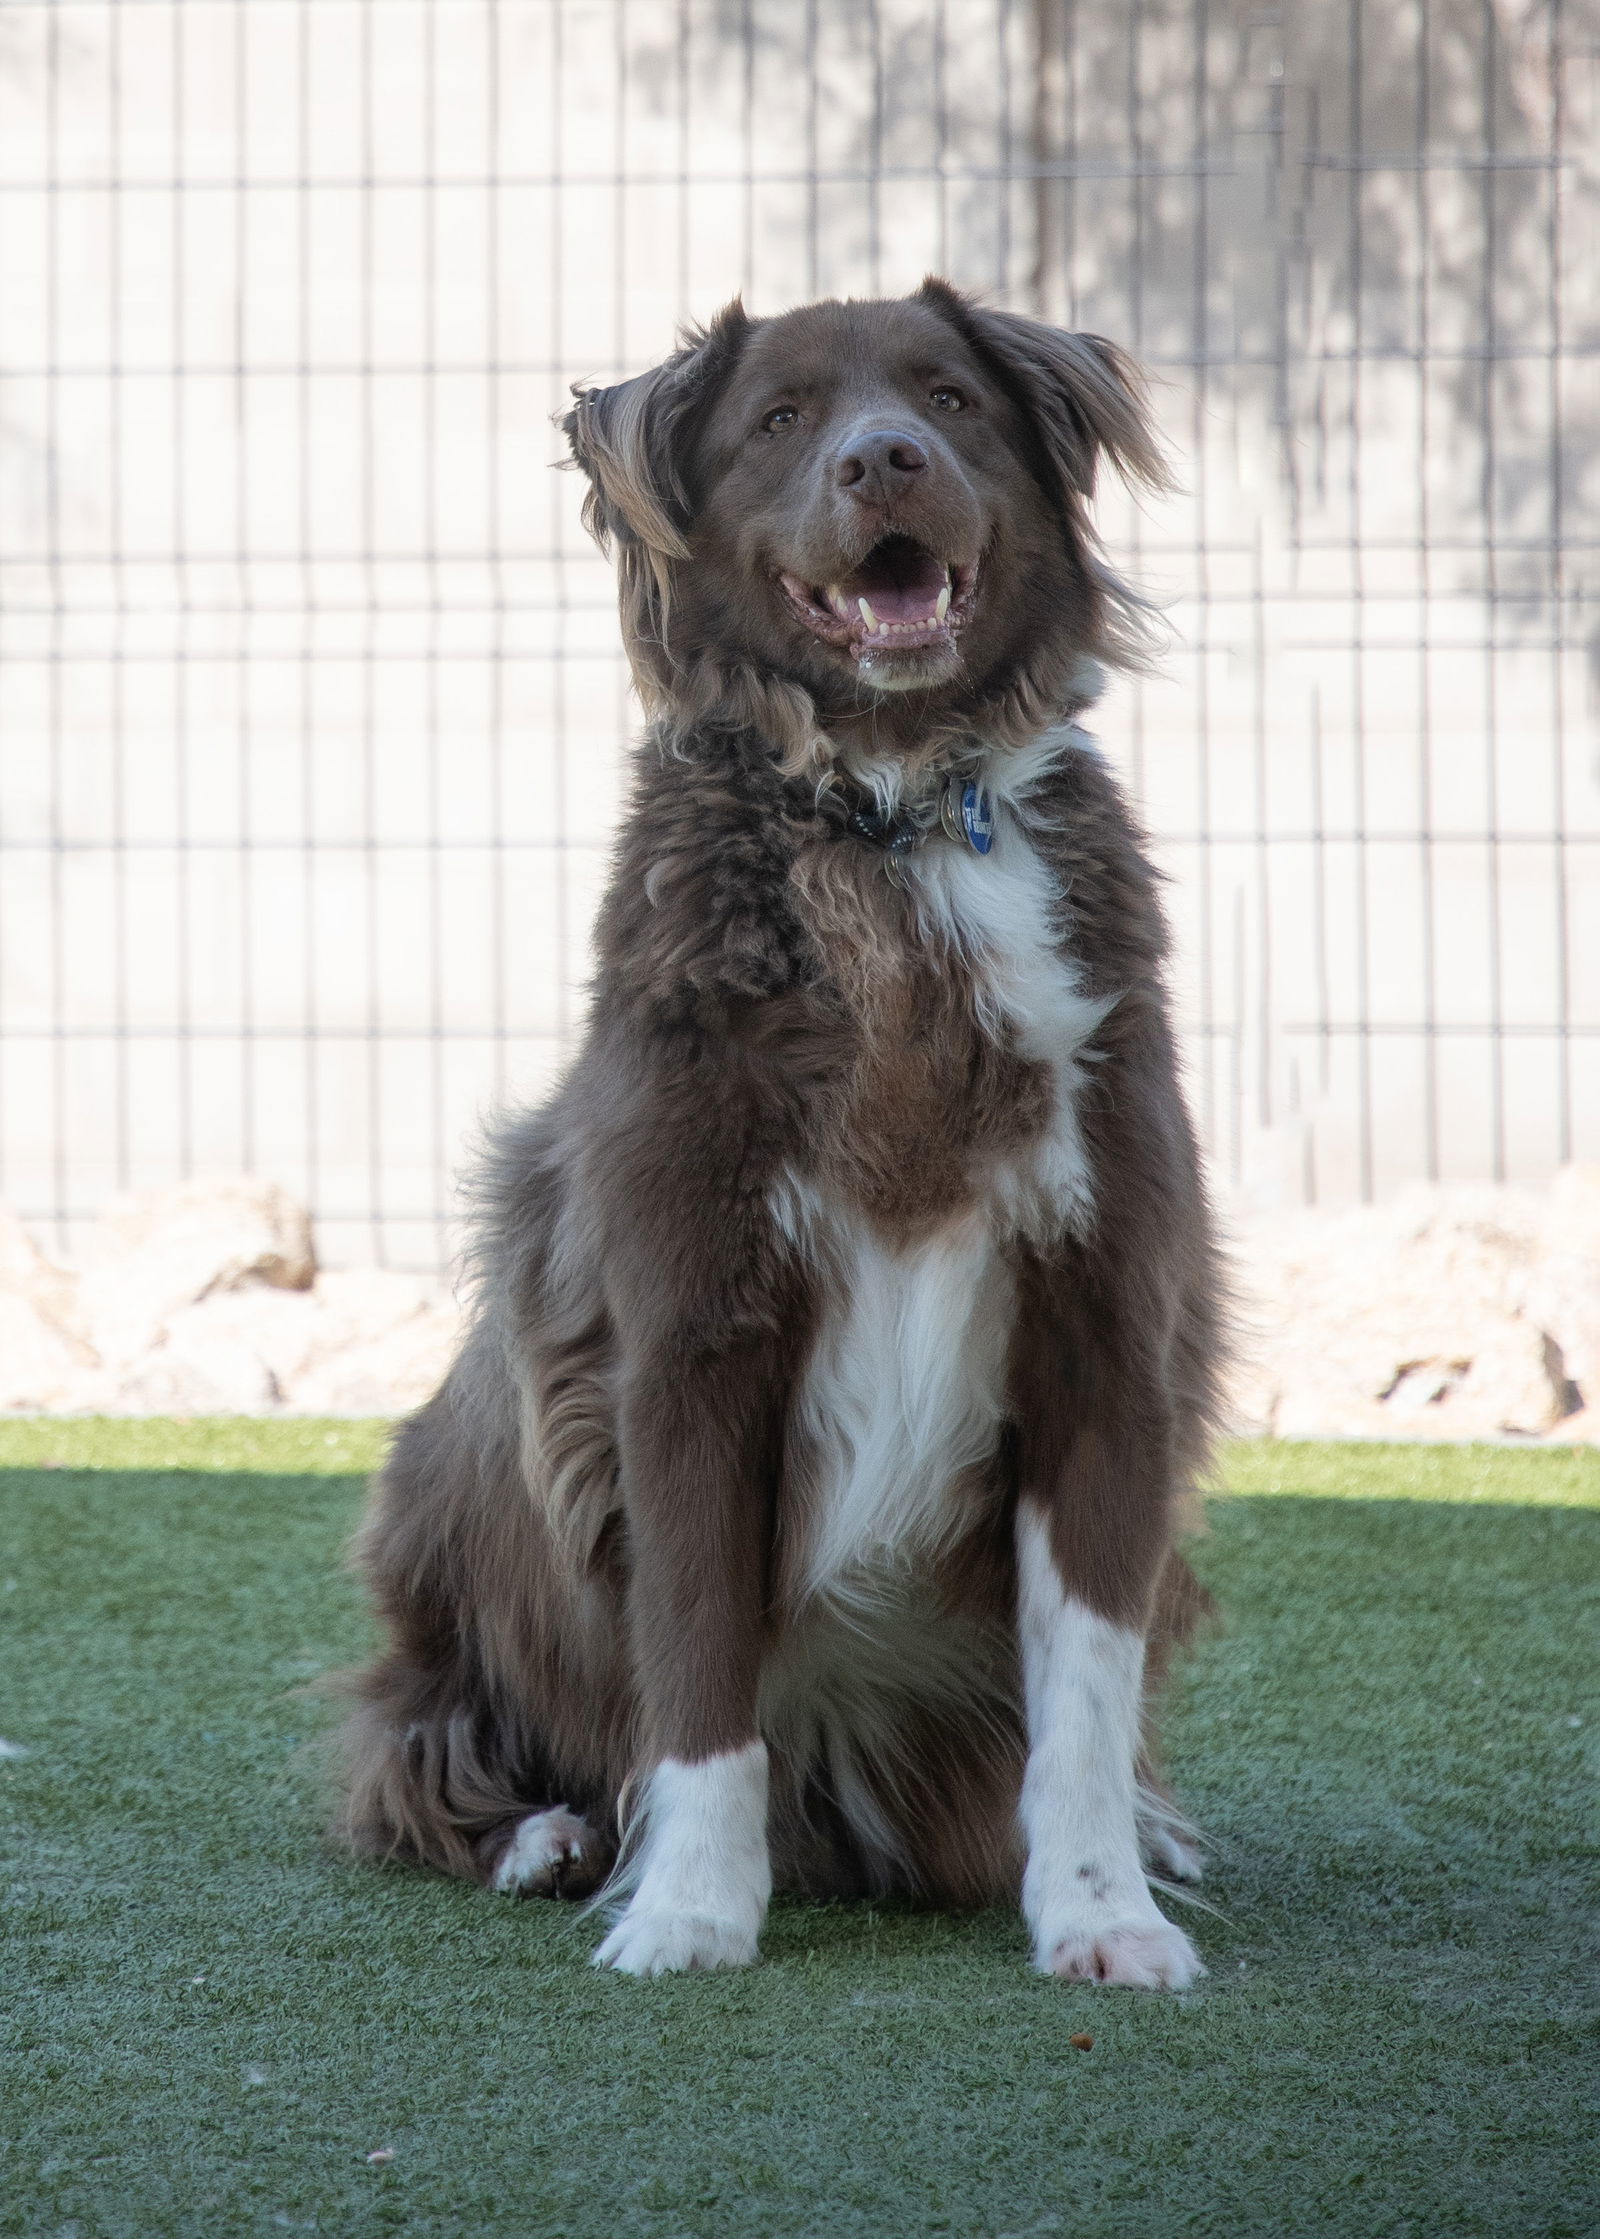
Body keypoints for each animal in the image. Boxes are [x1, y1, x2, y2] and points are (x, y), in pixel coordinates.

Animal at [331, 270, 1217, 1988]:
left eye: (949, 398)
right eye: (781, 419)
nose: (883, 461)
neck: (889, 820)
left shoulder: (1110, 1324)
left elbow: (1088, 1680)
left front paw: (1101, 1912)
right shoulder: (683, 1338)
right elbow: (693, 1657)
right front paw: (687, 1907)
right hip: (448, 1470)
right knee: (408, 1743)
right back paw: (542, 1834)